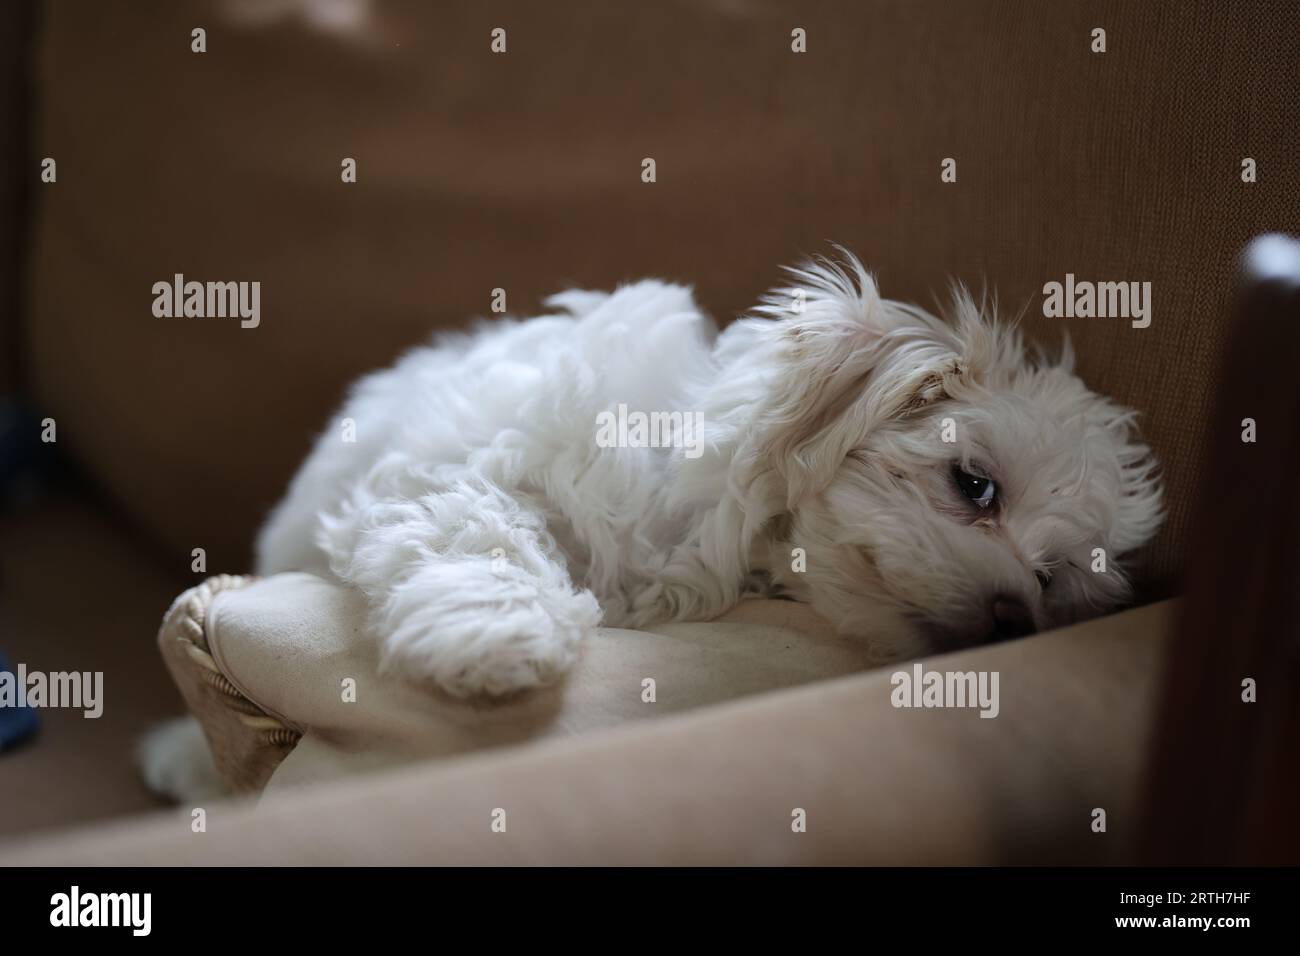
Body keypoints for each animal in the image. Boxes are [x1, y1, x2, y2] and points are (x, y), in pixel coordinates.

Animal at [139, 254, 1159, 801]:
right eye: (975, 484)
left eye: (1055, 578)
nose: (1012, 620)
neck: (708, 531)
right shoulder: (459, 469)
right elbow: (481, 533)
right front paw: (496, 638)